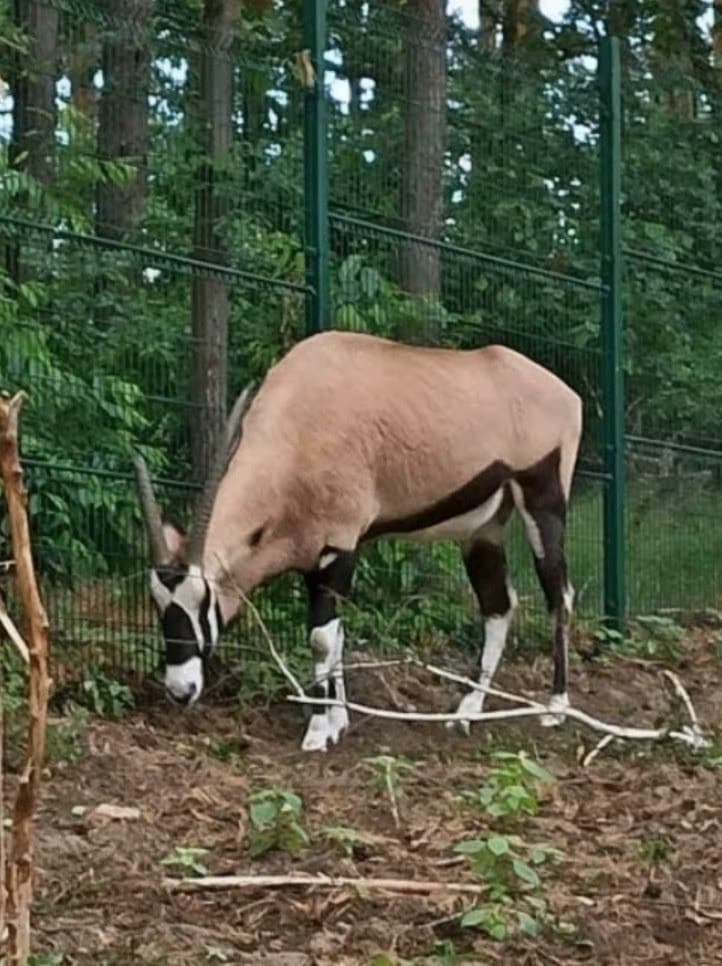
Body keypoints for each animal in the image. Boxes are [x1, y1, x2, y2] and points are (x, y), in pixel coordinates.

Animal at [134, 330, 582, 752]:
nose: (181, 690)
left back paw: (556, 707)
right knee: (498, 607)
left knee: (558, 593)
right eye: (158, 602)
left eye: (203, 598)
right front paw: (339, 721)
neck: (298, 426)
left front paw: (319, 731)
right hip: (483, 528)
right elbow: (336, 636)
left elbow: (320, 639)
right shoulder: (312, 558)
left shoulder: (339, 549)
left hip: (542, 501)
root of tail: (567, 395)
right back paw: (466, 712)